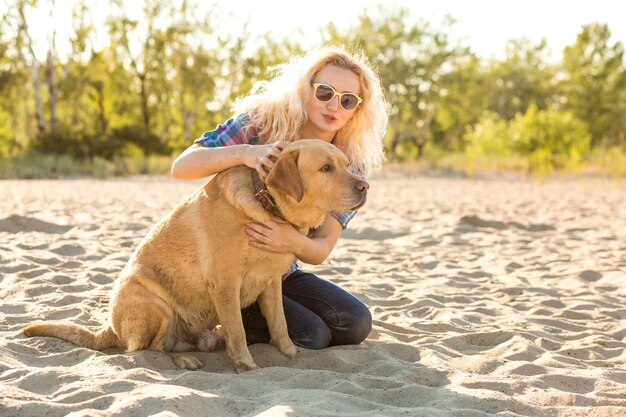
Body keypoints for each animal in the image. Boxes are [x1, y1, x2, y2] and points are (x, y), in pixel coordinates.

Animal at [23, 138, 366, 372]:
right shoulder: (225, 284)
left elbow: (279, 324)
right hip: (156, 306)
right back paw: (184, 359)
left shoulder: (271, 283)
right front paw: (245, 364)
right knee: (148, 350)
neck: (268, 204)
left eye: (346, 164)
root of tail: (109, 329)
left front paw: (291, 355)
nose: (365, 186)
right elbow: (239, 331)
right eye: (325, 168)